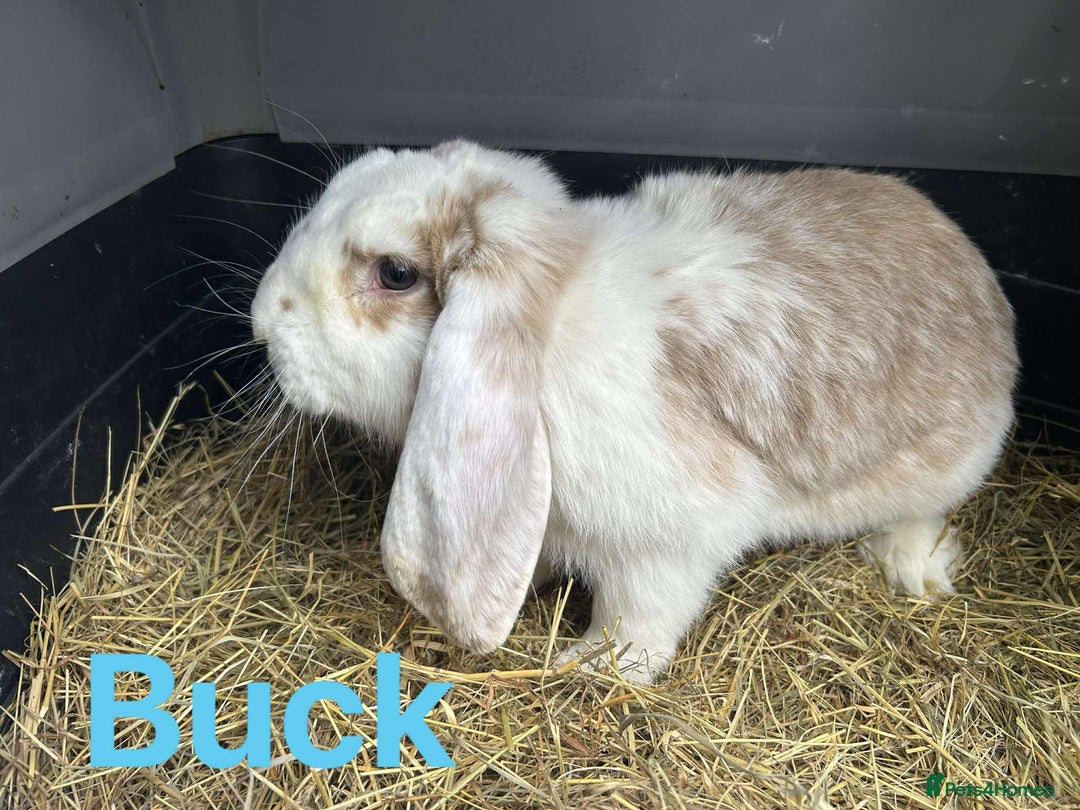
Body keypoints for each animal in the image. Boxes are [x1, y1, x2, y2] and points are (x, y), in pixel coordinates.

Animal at [251, 140, 1018, 684]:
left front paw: (588, 667)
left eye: (396, 274)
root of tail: (987, 286)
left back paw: (908, 567)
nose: (259, 322)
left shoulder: (664, 545)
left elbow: (637, 618)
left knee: (923, 514)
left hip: (949, 466)